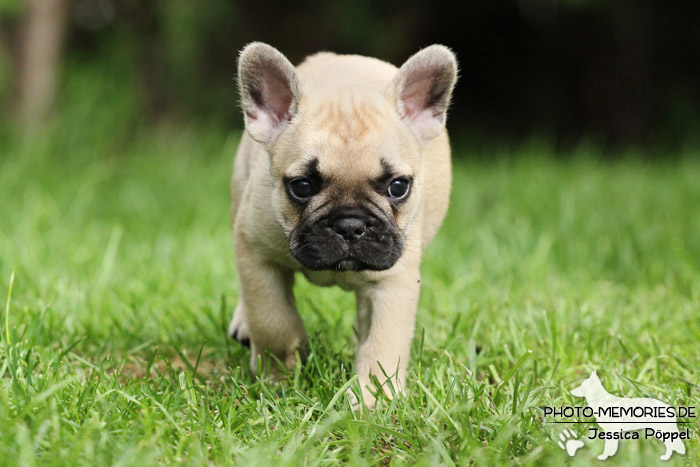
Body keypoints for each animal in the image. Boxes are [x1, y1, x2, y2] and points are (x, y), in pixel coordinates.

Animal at [230, 41, 460, 406]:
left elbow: (383, 343)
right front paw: (278, 377)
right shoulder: (256, 254)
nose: (350, 225)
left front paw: (372, 399)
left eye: (398, 187)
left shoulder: (394, 282)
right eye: (301, 186)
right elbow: (272, 321)